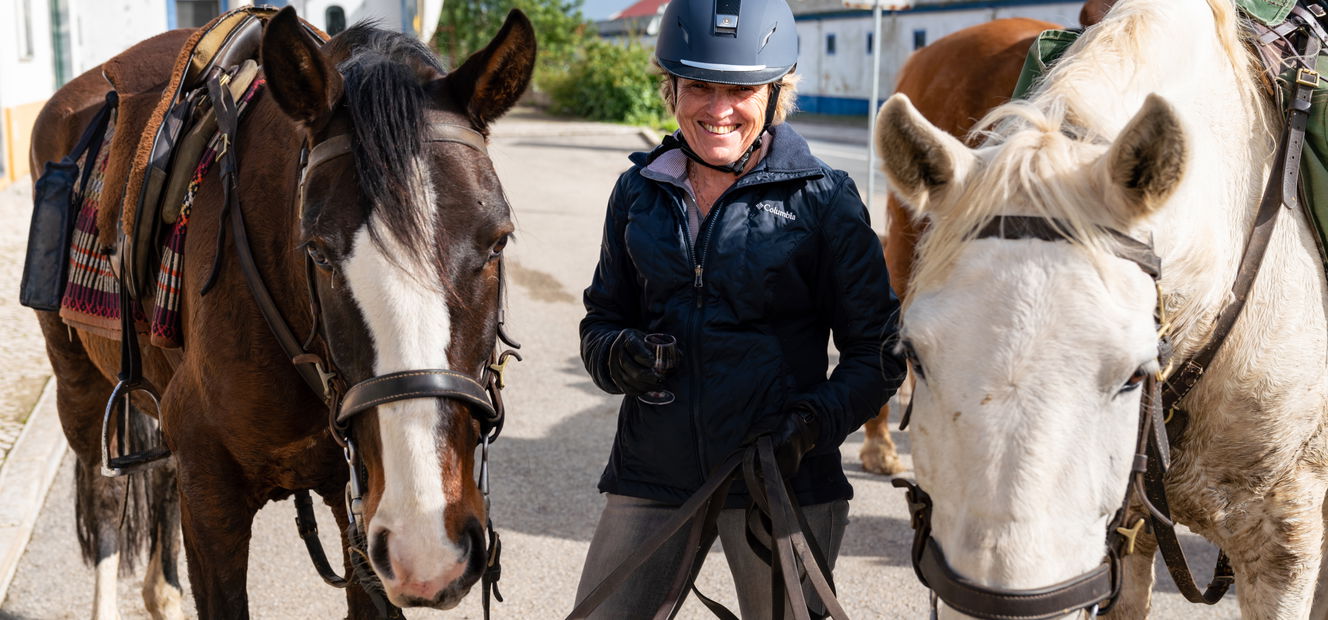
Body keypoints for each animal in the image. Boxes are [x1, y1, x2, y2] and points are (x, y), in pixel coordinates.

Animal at [28, 7, 534, 617]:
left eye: (499, 241)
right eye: (316, 250)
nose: (427, 545)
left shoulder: (356, 513)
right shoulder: (212, 502)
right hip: (77, 382)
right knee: (104, 492)